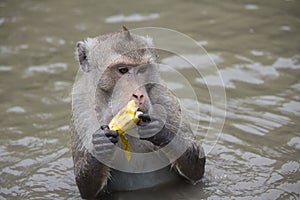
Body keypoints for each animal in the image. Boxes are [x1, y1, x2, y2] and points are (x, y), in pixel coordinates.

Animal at [71, 26, 206, 198]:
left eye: (142, 70)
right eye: (122, 70)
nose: (139, 95)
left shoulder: (164, 96)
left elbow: (196, 168)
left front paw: (160, 131)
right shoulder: (81, 106)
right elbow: (87, 189)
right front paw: (101, 144)